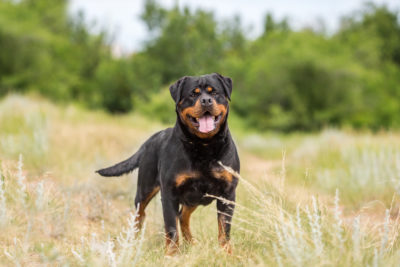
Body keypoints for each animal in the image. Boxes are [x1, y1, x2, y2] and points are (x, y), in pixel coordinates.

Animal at [96, 73, 241, 255]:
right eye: (192, 94)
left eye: (214, 92)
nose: (206, 100)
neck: (204, 146)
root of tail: (149, 141)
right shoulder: (170, 193)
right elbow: (171, 229)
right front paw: (172, 255)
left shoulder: (227, 194)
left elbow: (224, 228)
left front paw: (226, 253)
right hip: (145, 189)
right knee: (140, 216)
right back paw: (134, 242)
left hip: (192, 198)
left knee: (183, 215)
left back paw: (191, 242)